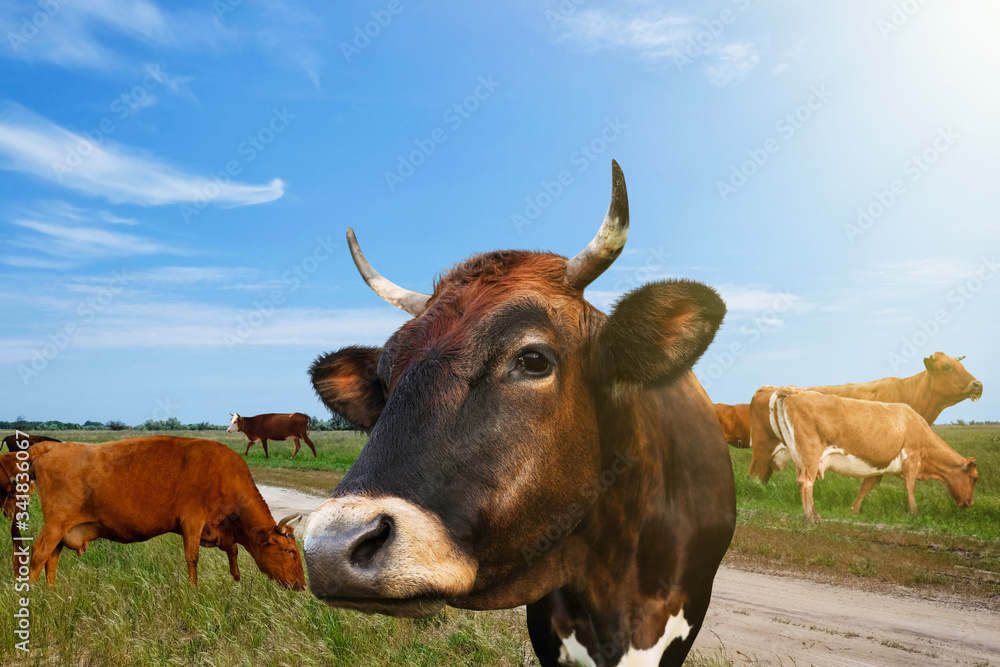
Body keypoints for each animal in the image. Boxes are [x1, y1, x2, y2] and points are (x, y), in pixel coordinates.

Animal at [28, 438, 308, 588]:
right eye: (290, 551)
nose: (303, 585)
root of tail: (53, 447)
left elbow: (233, 552)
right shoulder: (192, 522)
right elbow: (192, 559)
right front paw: (193, 590)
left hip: (62, 530)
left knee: (51, 558)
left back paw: (52, 593)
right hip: (55, 525)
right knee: (38, 555)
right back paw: (33, 596)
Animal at [764, 388, 976, 524]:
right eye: (974, 479)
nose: (969, 503)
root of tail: (795, 391)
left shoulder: (879, 466)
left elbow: (866, 487)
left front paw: (854, 511)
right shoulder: (911, 457)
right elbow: (910, 487)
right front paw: (914, 513)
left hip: (799, 456)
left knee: (804, 482)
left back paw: (818, 518)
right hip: (810, 453)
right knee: (806, 483)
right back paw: (809, 520)